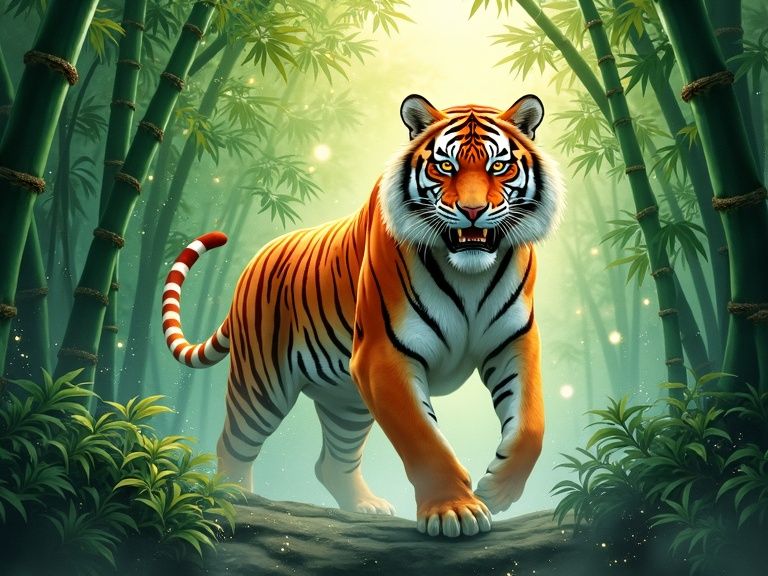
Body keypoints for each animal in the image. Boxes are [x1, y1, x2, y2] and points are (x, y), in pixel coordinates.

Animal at [161, 94, 565, 538]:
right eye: (445, 166)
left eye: (497, 166)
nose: (472, 211)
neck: (469, 274)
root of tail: (254, 261)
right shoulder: (383, 355)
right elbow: (423, 438)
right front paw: (454, 510)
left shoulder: (513, 341)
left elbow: (531, 425)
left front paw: (498, 488)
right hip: (261, 386)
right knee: (232, 444)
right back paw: (236, 498)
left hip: (346, 403)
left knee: (331, 463)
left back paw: (364, 507)